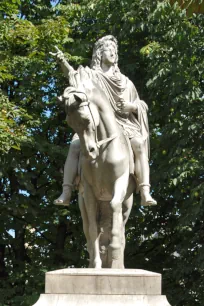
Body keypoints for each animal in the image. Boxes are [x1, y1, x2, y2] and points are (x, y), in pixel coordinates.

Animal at [63, 85, 135, 268]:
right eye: (70, 123)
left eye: (86, 120)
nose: (90, 152)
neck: (103, 151)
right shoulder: (89, 191)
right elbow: (93, 228)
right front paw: (96, 264)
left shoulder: (120, 181)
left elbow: (115, 206)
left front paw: (114, 250)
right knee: (89, 229)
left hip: (127, 203)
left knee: (120, 222)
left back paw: (117, 262)